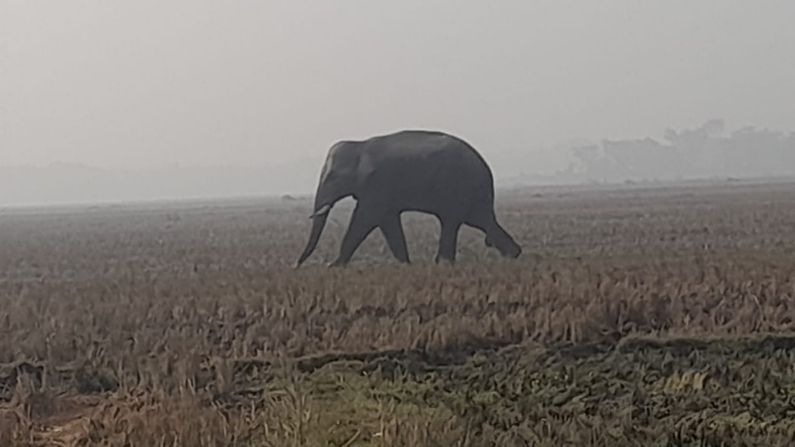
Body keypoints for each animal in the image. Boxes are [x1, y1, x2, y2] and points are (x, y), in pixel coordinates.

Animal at [292, 130, 524, 270]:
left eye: (331, 177)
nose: (296, 266)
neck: (359, 146)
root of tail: (486, 168)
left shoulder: (376, 185)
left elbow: (365, 219)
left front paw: (334, 266)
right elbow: (387, 221)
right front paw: (406, 264)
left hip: (459, 188)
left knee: (454, 221)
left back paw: (443, 263)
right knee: (479, 221)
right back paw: (512, 254)